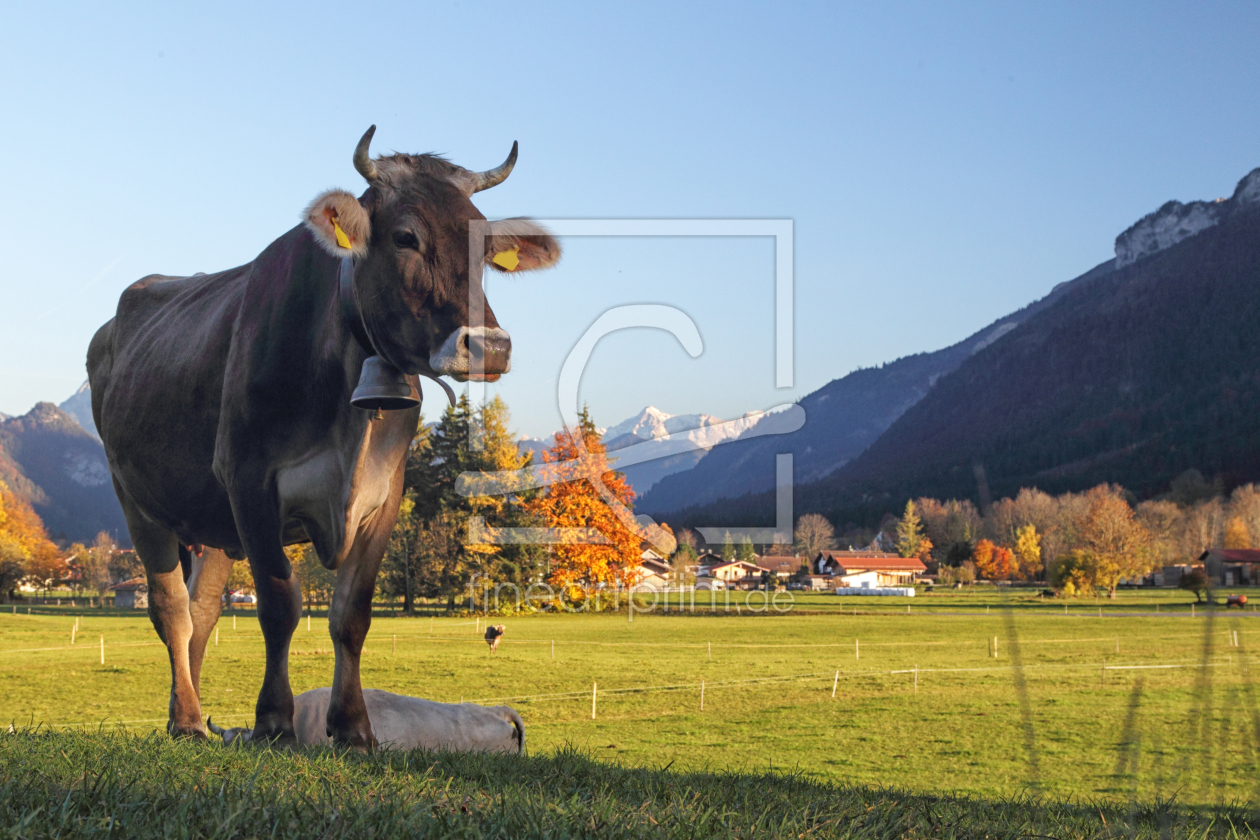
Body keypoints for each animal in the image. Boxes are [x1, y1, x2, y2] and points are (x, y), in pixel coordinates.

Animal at [86, 126, 559, 750]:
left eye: (484, 250)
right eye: (405, 237)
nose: (489, 346)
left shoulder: (386, 496)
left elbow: (351, 614)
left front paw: (353, 726)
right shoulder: (249, 480)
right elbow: (279, 605)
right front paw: (273, 720)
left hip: (211, 523)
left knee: (202, 614)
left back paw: (184, 715)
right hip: (136, 499)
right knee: (171, 610)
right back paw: (188, 718)